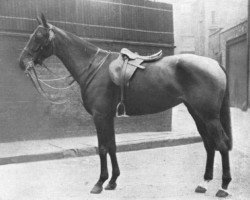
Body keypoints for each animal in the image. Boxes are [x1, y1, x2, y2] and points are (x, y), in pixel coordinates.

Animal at [19, 13, 232, 197]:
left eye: (39, 36)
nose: (22, 62)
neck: (94, 67)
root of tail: (215, 64)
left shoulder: (99, 116)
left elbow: (102, 148)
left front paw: (99, 183)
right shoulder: (108, 117)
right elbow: (112, 146)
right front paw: (112, 181)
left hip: (209, 117)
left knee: (221, 144)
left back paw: (223, 187)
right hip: (198, 114)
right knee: (209, 144)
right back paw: (204, 183)